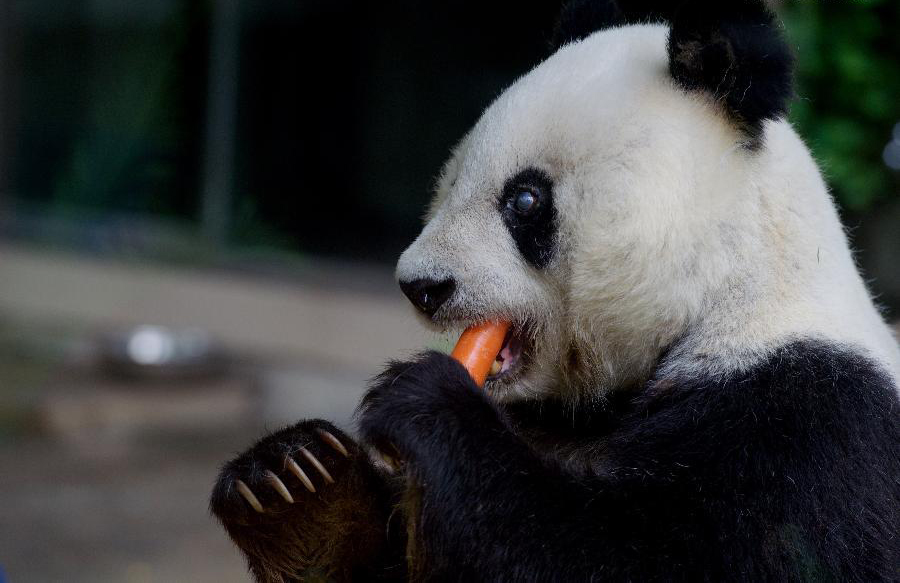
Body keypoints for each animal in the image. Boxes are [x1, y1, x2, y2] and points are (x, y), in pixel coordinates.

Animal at [209, 2, 900, 580]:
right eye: (451, 181)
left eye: (524, 200)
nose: (421, 286)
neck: (727, 287)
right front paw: (294, 488)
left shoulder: (809, 426)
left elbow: (635, 557)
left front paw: (420, 399)